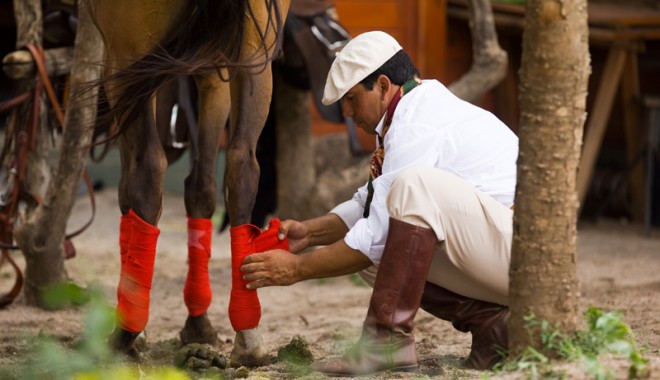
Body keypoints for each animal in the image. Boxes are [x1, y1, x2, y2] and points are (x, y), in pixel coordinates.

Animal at [82, 0, 288, 366]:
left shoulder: (120, 61)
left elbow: (126, 191)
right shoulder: (214, 71)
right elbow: (202, 189)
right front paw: (199, 324)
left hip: (127, 60)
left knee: (148, 172)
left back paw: (124, 337)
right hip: (254, 56)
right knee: (241, 165)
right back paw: (248, 335)